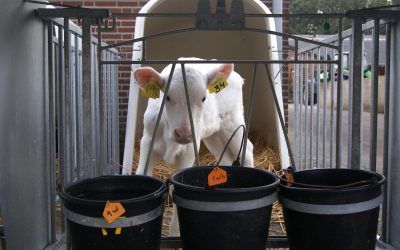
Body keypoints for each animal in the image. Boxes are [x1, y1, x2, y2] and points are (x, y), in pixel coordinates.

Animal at [134, 57, 253, 235]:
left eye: (203, 98)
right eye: (167, 97)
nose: (184, 134)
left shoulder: (190, 149)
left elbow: (176, 187)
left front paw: (175, 233)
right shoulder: (148, 141)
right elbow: (142, 173)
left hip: (233, 122)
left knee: (248, 150)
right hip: (213, 135)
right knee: (225, 157)